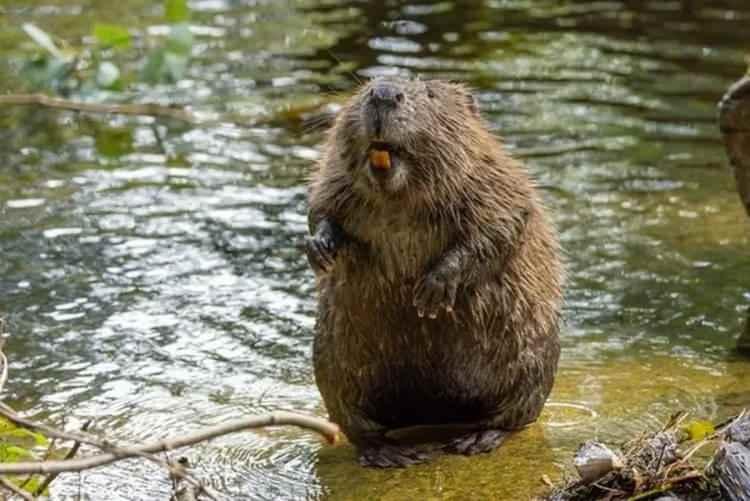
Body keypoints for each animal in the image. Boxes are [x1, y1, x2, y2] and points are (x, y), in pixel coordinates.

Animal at [306, 76, 564, 466]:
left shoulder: (492, 178)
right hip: (331, 356)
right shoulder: (336, 182)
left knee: (517, 413)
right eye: (367, 86)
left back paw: (477, 439)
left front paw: (431, 292)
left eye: (429, 94)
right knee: (355, 422)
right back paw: (392, 453)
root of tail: (435, 415)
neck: (397, 197)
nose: (383, 94)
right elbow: (320, 209)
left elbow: (501, 225)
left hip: (534, 353)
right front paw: (320, 248)